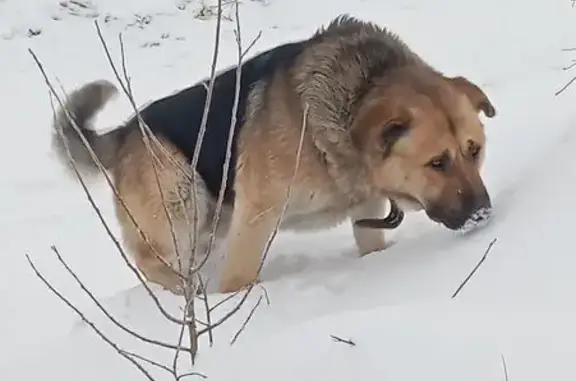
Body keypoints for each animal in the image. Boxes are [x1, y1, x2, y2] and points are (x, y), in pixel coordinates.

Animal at [51, 14, 498, 294]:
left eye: (474, 151)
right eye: (436, 163)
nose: (482, 214)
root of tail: (127, 130)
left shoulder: (366, 211)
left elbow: (372, 246)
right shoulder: (256, 217)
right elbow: (239, 278)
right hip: (181, 196)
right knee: (151, 260)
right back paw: (188, 292)